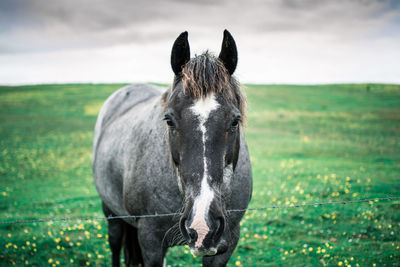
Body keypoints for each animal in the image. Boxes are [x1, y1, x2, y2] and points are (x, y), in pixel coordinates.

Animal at [92, 30, 252, 266]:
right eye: (169, 120)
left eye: (235, 121)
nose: (202, 226)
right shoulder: (149, 239)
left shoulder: (228, 241)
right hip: (111, 211)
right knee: (114, 242)